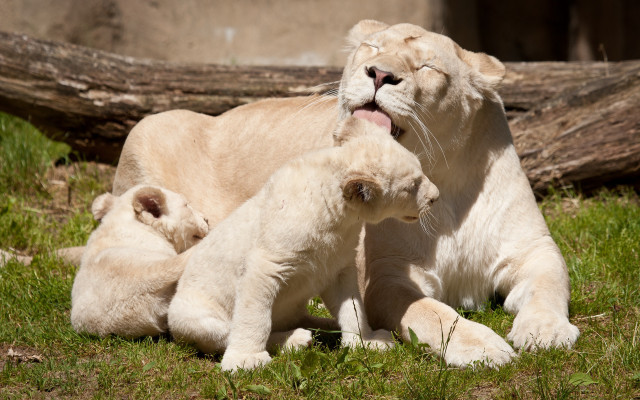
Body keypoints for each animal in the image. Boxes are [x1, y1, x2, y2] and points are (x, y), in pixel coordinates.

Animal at [168, 118, 439, 371]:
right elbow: (254, 317)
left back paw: (325, 329)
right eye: (412, 187)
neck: (339, 220)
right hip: (193, 318)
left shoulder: (338, 268)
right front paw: (245, 360)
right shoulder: (264, 266)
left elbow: (353, 308)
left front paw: (365, 341)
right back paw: (295, 340)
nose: (435, 197)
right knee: (227, 334)